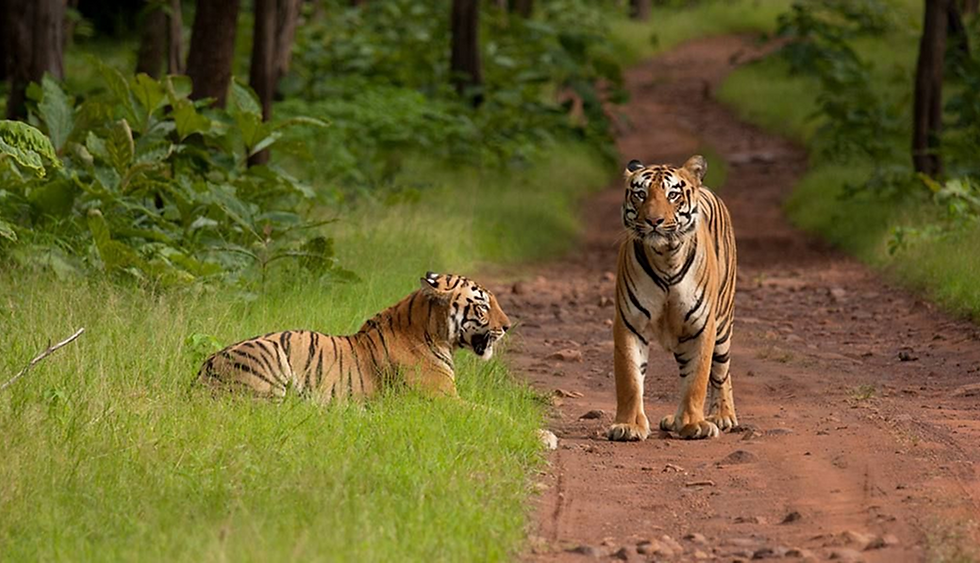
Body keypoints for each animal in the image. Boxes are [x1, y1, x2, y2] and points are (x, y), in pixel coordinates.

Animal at [198, 272, 511, 402]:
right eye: (483, 306)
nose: (508, 326)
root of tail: (203, 372)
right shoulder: (442, 400)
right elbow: (495, 416)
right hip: (269, 363)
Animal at [607, 155, 737, 441]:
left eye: (673, 195)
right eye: (641, 194)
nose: (654, 221)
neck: (666, 256)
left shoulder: (702, 326)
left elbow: (697, 379)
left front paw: (694, 424)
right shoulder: (630, 323)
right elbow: (630, 378)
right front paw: (628, 425)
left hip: (722, 324)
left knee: (722, 372)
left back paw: (722, 416)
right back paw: (673, 420)